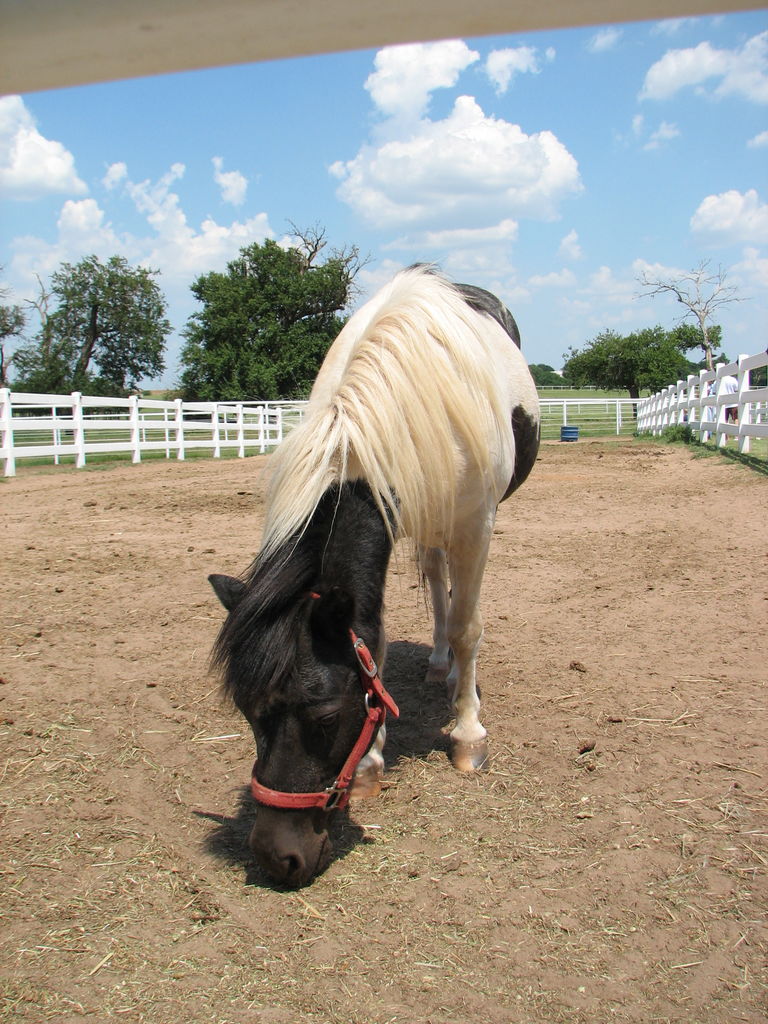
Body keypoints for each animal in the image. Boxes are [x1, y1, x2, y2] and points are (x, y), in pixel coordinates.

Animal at [207, 266, 536, 888]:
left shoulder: (476, 525)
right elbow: (372, 641)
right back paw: (438, 666)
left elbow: (469, 628)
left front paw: (468, 736)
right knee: (434, 579)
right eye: (248, 711)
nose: (276, 858)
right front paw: (374, 760)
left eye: (326, 714)